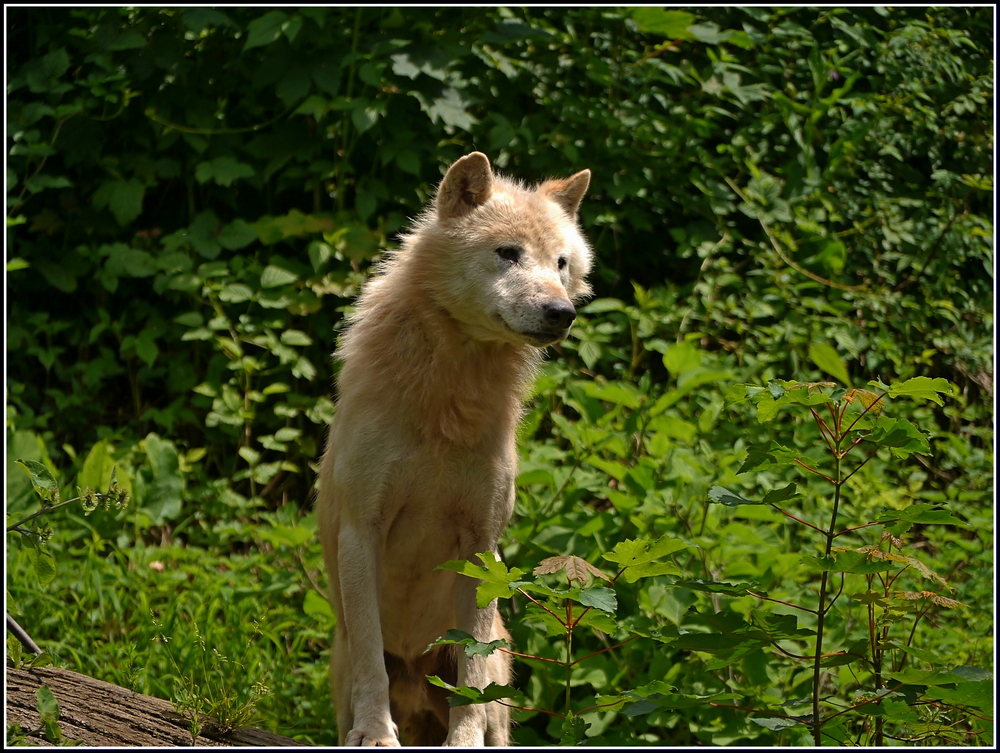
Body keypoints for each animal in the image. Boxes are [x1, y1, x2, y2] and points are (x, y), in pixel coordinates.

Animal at [316, 150, 588, 744]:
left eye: (560, 263)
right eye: (507, 253)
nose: (562, 313)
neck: (449, 398)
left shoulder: (481, 543)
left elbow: (470, 675)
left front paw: (463, 741)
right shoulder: (361, 531)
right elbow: (372, 659)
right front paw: (376, 734)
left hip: (503, 670)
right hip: (340, 664)